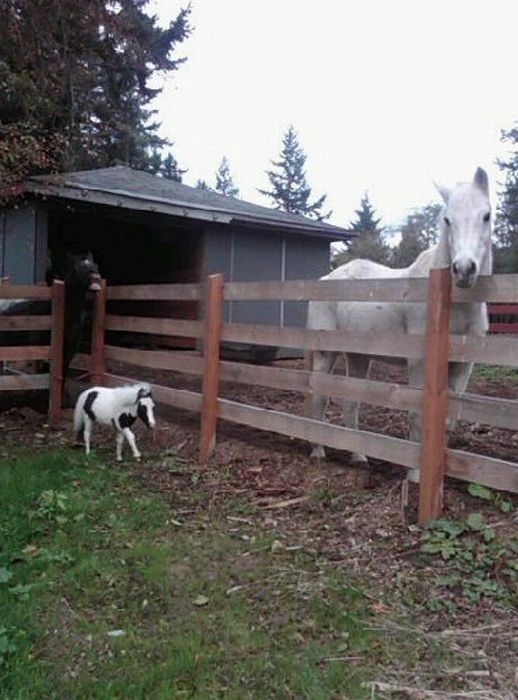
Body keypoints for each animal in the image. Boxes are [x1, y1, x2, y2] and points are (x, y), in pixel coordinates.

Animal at [308, 168, 496, 482]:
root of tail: (327, 278)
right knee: (320, 396)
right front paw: (416, 476)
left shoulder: (463, 367)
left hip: (358, 356)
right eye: (447, 219)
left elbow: (448, 421)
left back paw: (359, 457)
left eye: (487, 215)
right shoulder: (419, 364)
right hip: (327, 353)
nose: (463, 270)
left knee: (351, 401)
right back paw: (318, 451)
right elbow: (418, 417)